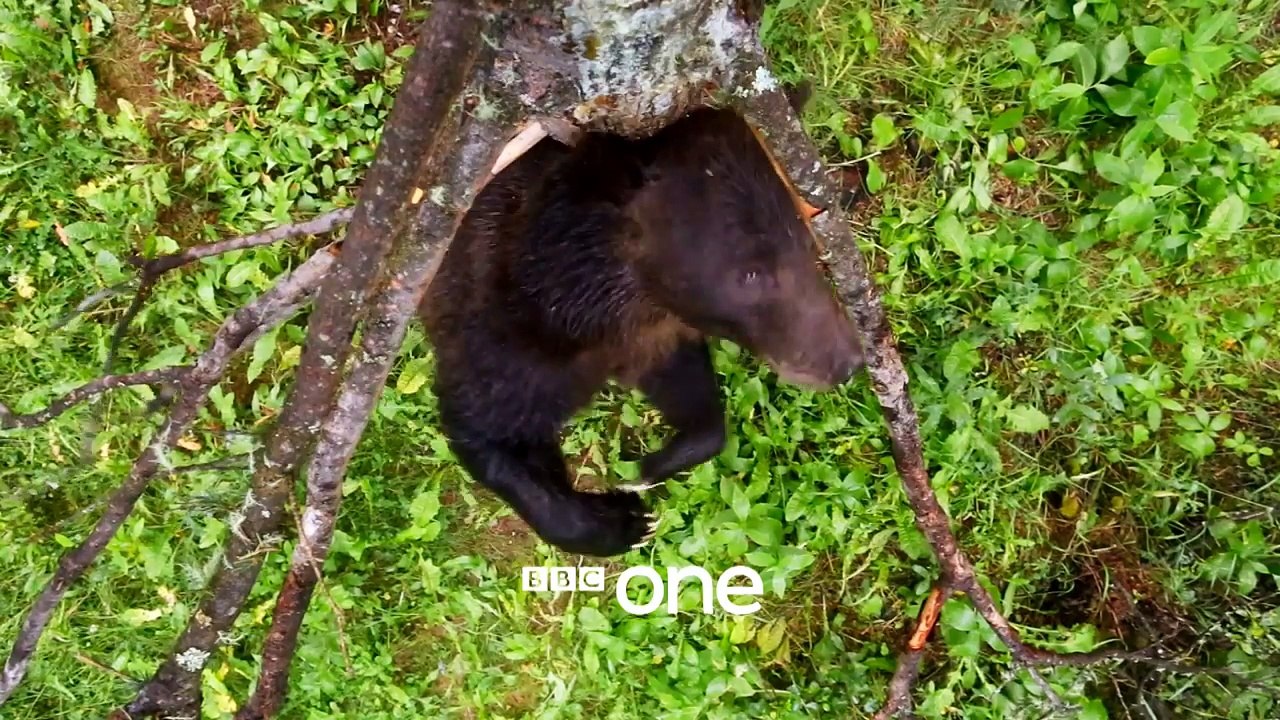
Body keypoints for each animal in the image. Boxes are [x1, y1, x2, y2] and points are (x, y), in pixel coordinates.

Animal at [420, 107, 862, 558]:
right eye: (751, 272)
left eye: (807, 242)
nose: (847, 361)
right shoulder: (503, 327)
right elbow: (488, 429)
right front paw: (624, 520)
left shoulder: (650, 335)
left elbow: (686, 390)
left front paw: (648, 469)